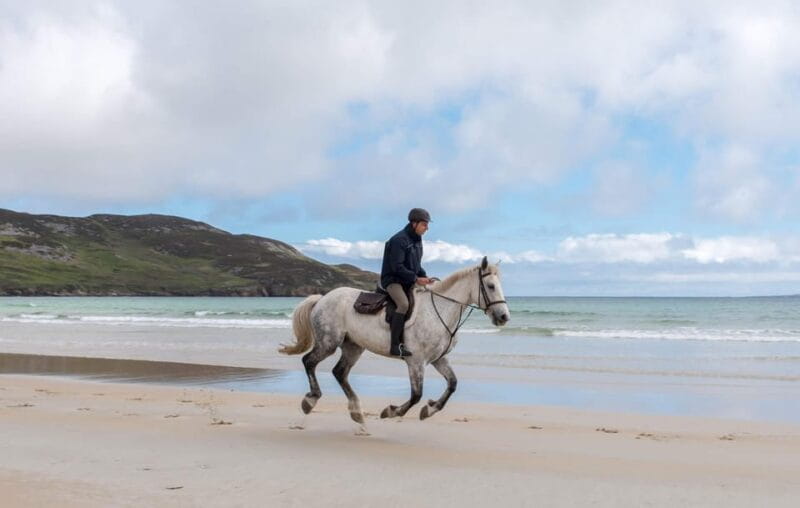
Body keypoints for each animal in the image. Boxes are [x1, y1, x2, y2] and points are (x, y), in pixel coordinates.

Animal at [278, 256, 510, 430]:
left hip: (353, 346)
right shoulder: (415, 362)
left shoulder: (438, 359)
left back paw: (357, 413)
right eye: (490, 286)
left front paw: (430, 409)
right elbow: (416, 395)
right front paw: (391, 411)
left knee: (339, 372)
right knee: (309, 361)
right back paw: (311, 401)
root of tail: (322, 298)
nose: (504, 317)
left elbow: (452, 384)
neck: (439, 311)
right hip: (328, 342)